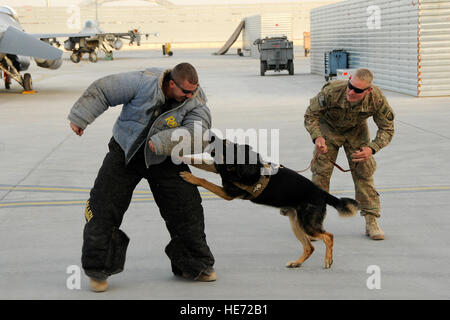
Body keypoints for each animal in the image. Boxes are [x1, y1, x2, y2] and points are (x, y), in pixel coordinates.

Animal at [179, 138, 358, 270]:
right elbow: (199, 162)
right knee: (310, 247)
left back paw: (328, 260)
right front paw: (182, 157)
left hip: (307, 224)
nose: (211, 136)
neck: (242, 165)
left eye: (226, 144)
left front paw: (191, 177)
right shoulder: (219, 171)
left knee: (328, 237)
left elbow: (205, 180)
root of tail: (322, 193)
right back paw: (297, 263)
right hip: (296, 224)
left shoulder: (227, 193)